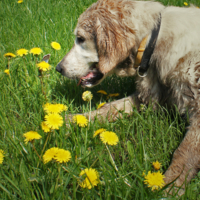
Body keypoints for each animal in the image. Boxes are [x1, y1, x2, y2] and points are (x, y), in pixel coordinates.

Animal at [55, 0, 200, 195]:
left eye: (81, 39)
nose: (58, 68)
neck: (153, 42)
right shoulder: (146, 98)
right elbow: (109, 108)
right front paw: (74, 119)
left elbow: (184, 153)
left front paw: (169, 186)